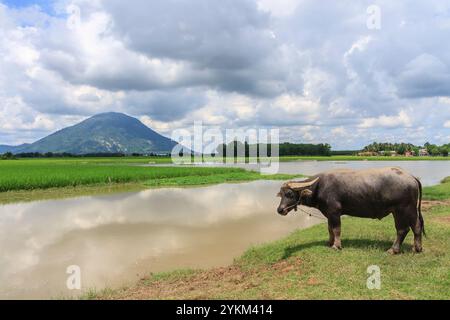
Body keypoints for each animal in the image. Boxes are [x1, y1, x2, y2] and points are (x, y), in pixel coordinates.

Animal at [274, 168, 426, 255]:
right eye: (281, 194)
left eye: (290, 194)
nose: (280, 210)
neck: (319, 187)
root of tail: (411, 177)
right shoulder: (329, 213)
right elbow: (329, 228)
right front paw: (330, 242)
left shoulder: (335, 212)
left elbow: (336, 229)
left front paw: (336, 246)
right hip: (405, 211)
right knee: (413, 227)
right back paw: (416, 248)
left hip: (403, 210)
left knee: (405, 229)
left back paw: (395, 250)